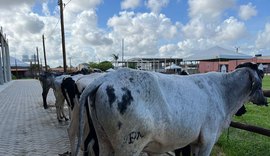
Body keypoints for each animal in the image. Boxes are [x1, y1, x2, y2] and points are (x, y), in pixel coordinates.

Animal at [76, 63, 268, 156]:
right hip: (129, 146)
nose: (265, 100)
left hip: (104, 140)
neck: (224, 93)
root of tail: (107, 77)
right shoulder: (208, 140)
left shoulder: (194, 142)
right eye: (262, 73)